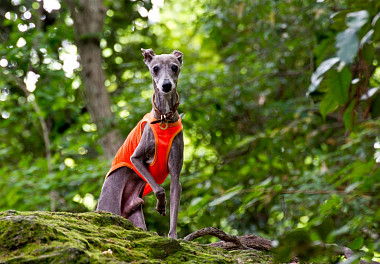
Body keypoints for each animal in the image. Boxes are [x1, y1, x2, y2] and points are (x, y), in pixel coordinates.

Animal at [97, 48, 185, 239]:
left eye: (174, 67)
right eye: (155, 68)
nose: (166, 86)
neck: (164, 118)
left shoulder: (176, 173)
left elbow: (174, 203)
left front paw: (173, 236)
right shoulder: (136, 158)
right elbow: (159, 189)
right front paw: (160, 205)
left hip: (135, 216)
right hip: (109, 205)